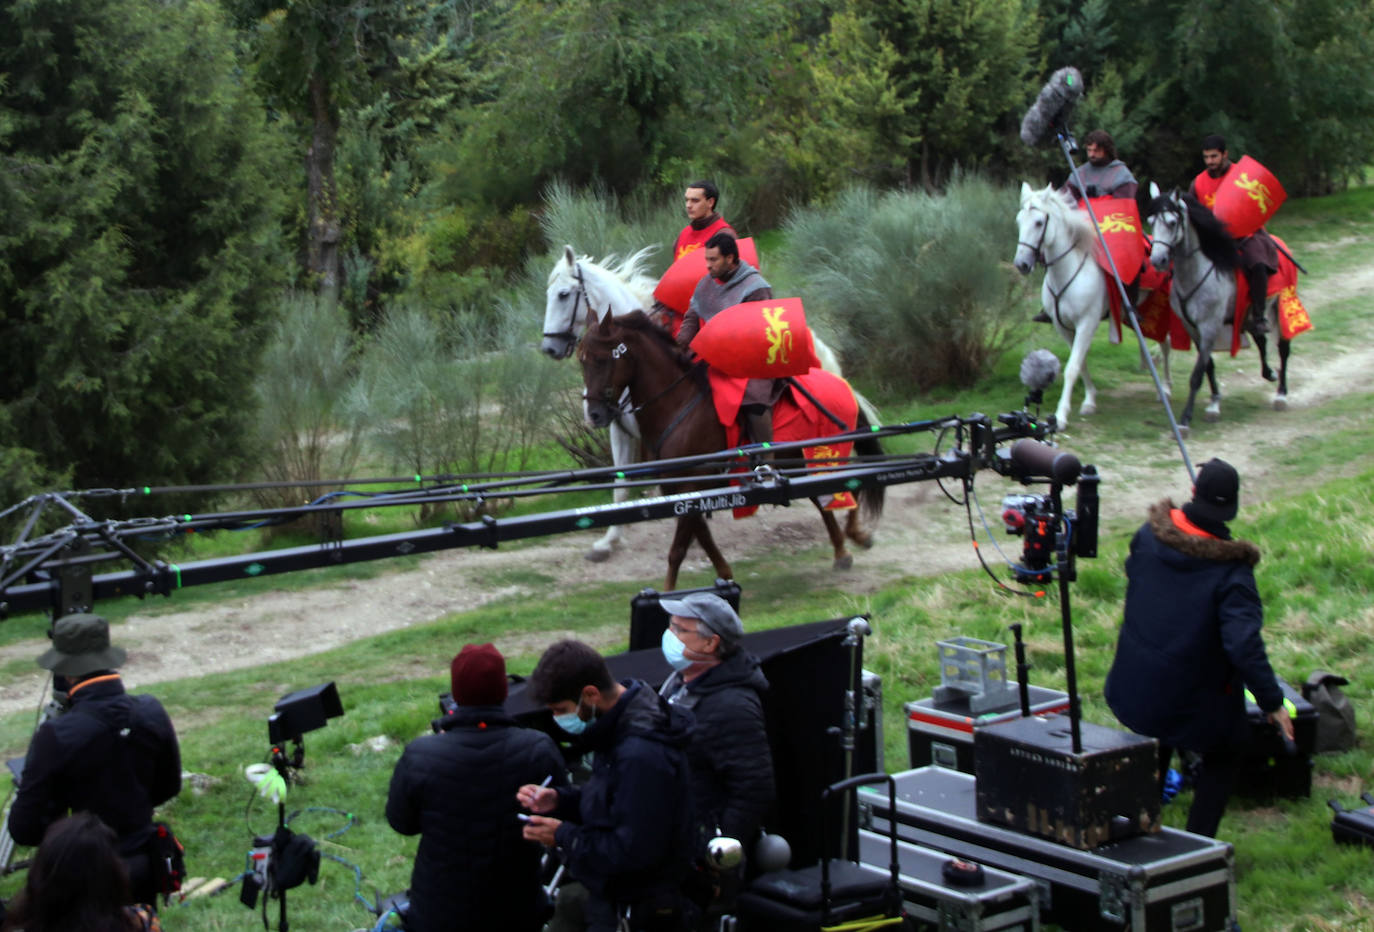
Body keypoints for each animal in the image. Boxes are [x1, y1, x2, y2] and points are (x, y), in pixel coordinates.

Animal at [577, 312, 879, 591]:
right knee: (826, 499)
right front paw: (724, 575)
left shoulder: (692, 483)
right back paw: (842, 550)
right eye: (582, 361)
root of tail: (841, 384)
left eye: (602, 359)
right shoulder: (680, 488)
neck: (678, 405)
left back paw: (856, 535)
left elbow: (678, 550)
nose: (595, 414)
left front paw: (666, 595)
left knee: (848, 490)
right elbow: (702, 537)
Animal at [1016, 185, 1110, 431]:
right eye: (1019, 221)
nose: (1021, 264)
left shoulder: (1087, 323)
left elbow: (1072, 368)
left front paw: (1060, 415)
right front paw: (1090, 400)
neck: (1066, 273)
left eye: (1039, 222)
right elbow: (1080, 363)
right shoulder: (1063, 326)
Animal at [1143, 184, 1242, 437]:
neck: (1195, 274)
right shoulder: (1194, 328)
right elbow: (1208, 365)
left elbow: (1197, 375)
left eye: (1171, 222)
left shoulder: (1209, 328)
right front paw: (1214, 401)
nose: (1158, 260)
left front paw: (1185, 418)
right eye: (1150, 221)